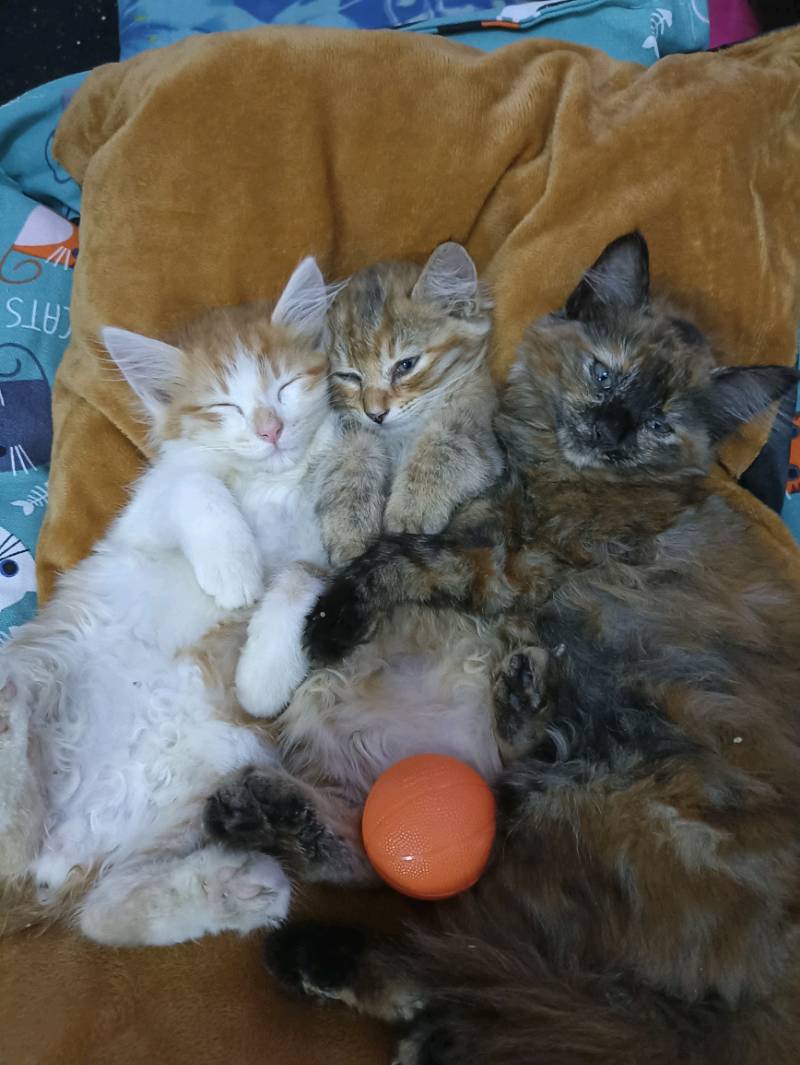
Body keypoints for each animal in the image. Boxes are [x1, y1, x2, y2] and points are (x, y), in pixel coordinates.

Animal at [0, 257, 346, 947]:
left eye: (286, 386)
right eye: (224, 406)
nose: (270, 428)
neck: (268, 490)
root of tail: (66, 847)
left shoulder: (331, 549)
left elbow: (299, 573)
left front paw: (264, 673)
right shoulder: (146, 512)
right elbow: (196, 484)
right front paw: (234, 567)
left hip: (207, 783)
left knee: (103, 910)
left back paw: (239, 889)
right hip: (51, 656)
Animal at [206, 243, 509, 886]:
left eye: (405, 364)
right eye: (348, 376)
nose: (376, 411)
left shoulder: (478, 435)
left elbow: (442, 450)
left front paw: (409, 510)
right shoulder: (344, 438)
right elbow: (353, 467)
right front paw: (354, 530)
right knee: (356, 850)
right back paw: (264, 815)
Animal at [261, 234, 800, 1064]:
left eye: (658, 422)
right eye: (605, 372)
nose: (611, 426)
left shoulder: (507, 562)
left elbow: (401, 555)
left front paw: (331, 619)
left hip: (590, 815)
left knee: (462, 958)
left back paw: (320, 957)